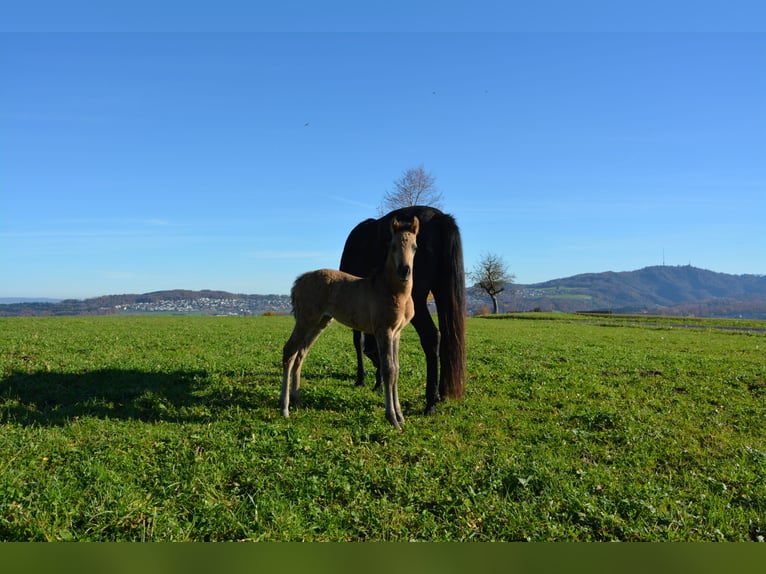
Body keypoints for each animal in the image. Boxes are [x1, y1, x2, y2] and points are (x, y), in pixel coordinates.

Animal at [281, 216, 420, 429]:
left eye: (415, 247)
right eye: (393, 246)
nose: (404, 271)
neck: (394, 291)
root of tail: (300, 280)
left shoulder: (397, 333)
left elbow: (396, 369)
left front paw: (401, 416)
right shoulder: (384, 330)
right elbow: (388, 370)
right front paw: (392, 419)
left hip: (320, 322)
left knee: (301, 353)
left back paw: (297, 400)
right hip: (306, 320)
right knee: (289, 351)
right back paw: (284, 408)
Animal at [339, 206, 466, 416]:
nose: (380, 378)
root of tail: (439, 217)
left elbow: (359, 341)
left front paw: (361, 379)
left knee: (432, 338)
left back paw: (430, 402)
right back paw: (440, 395)